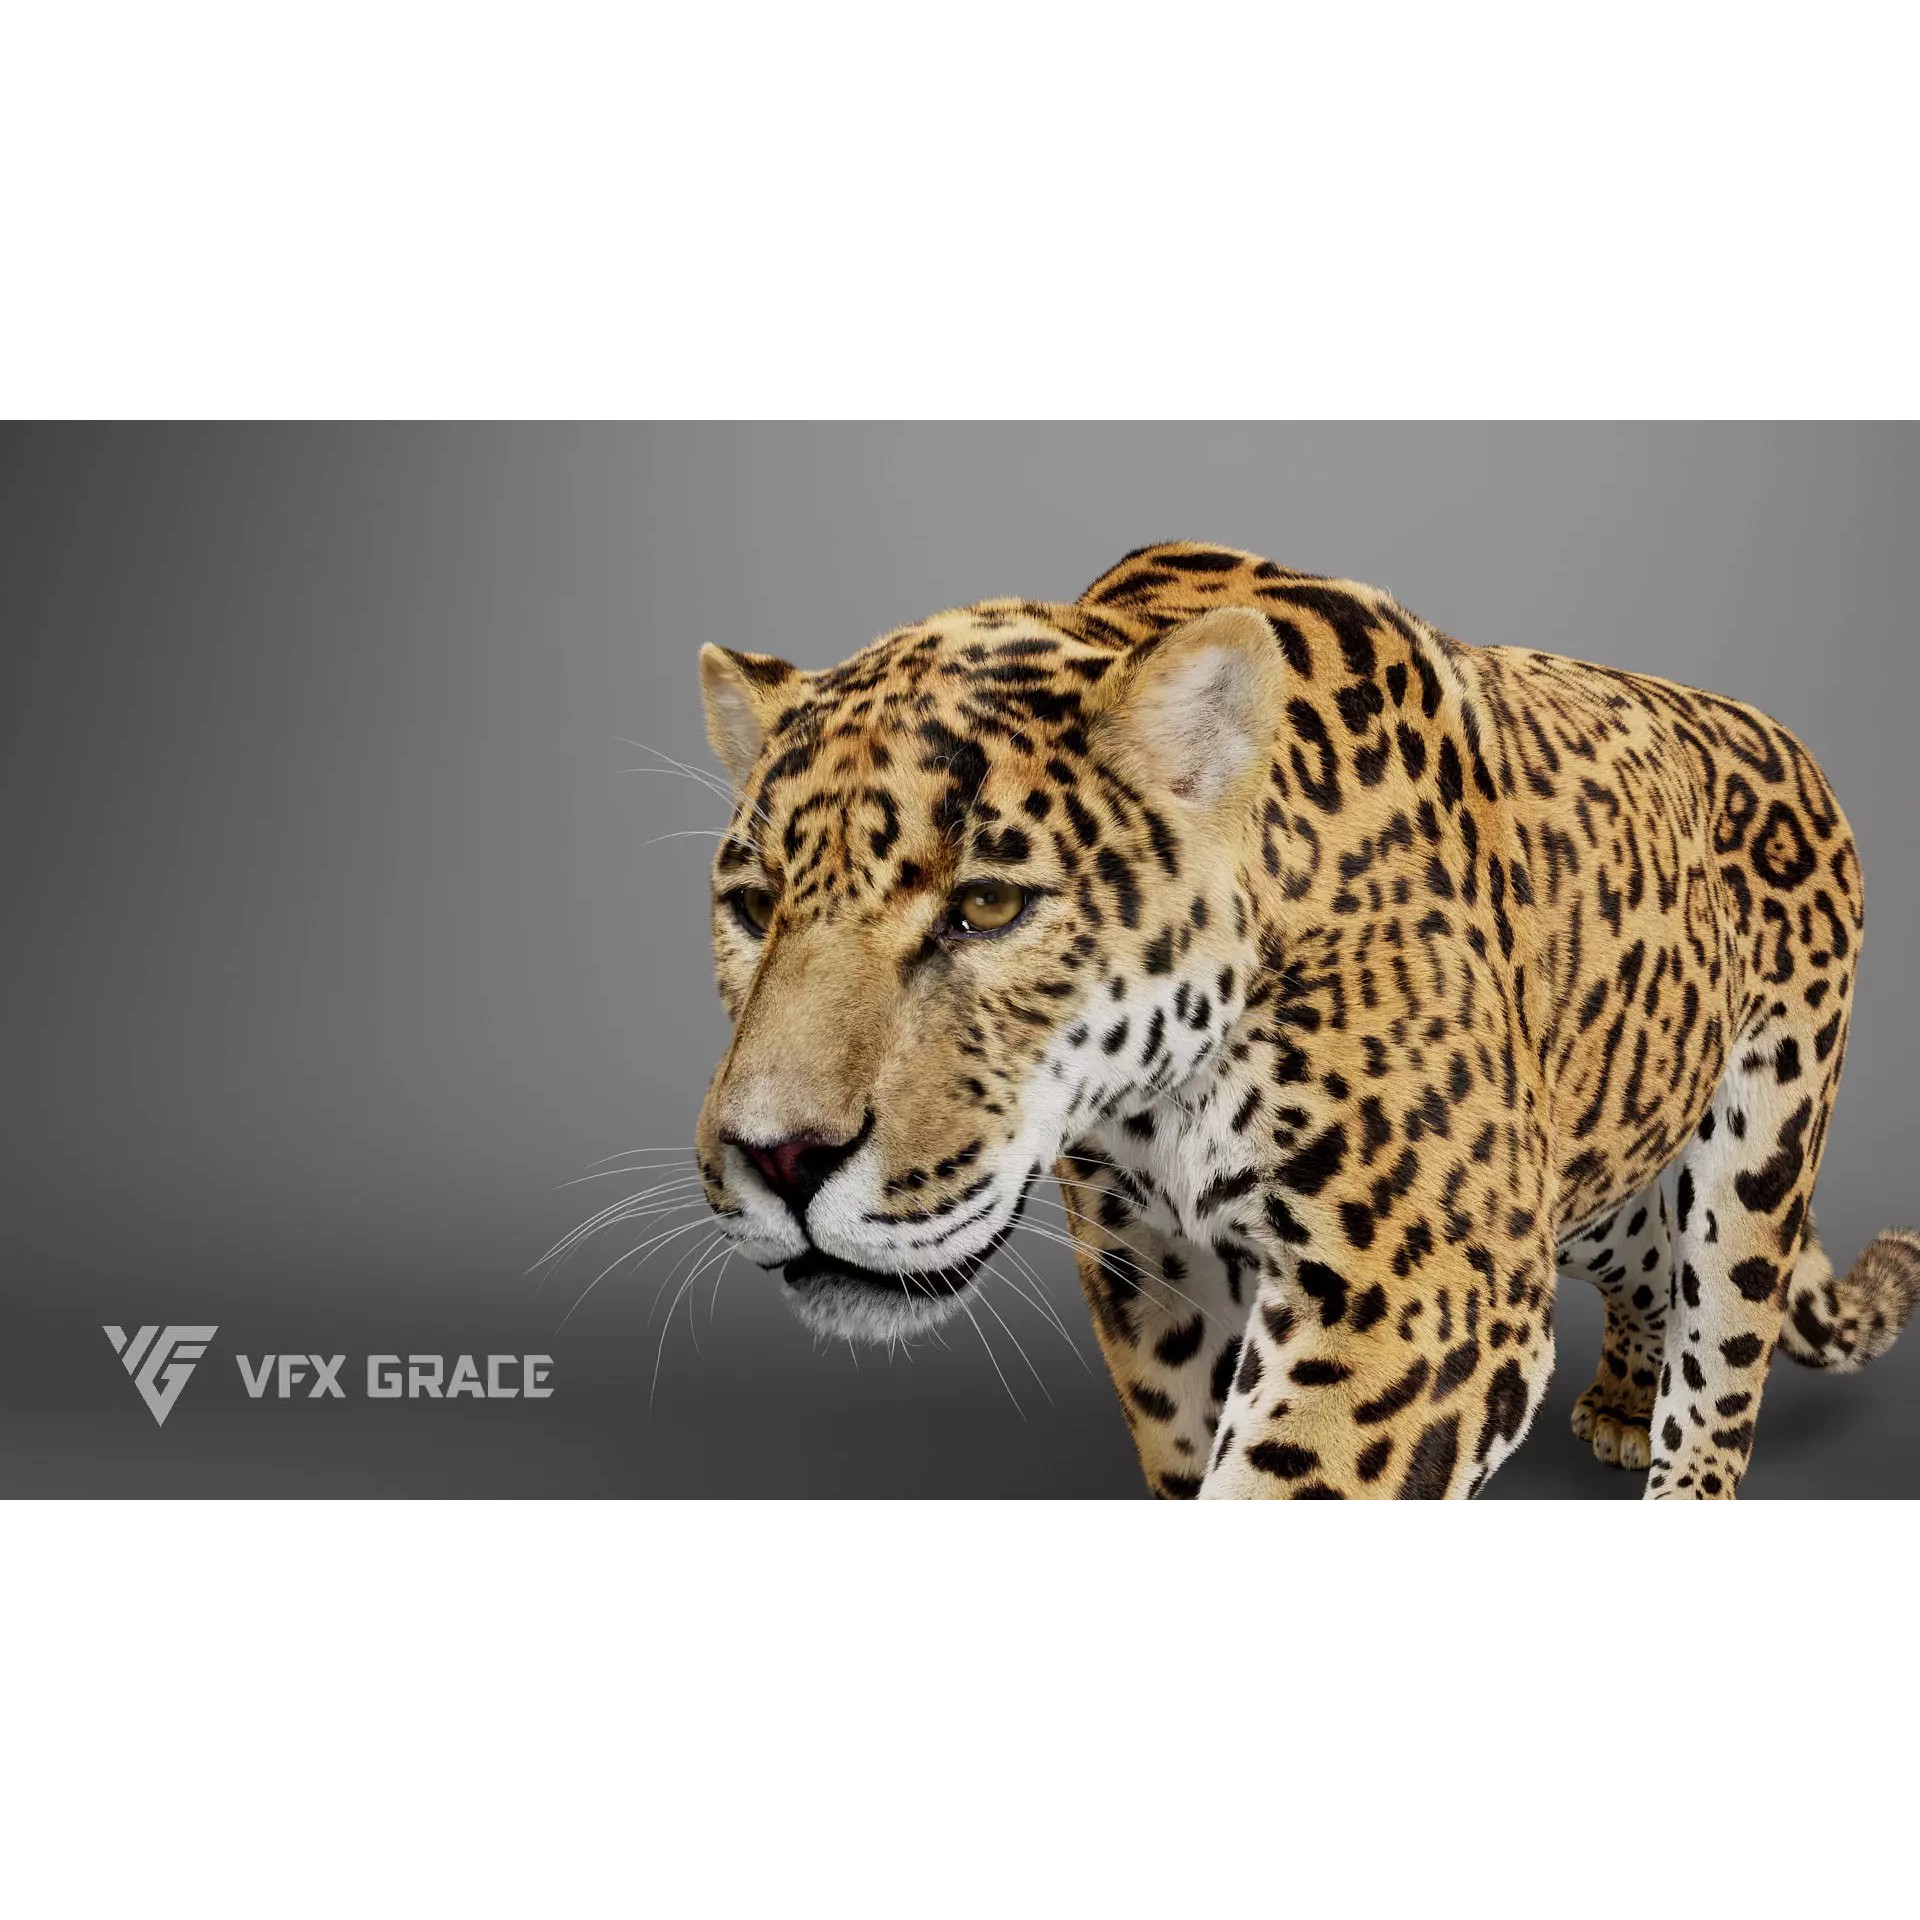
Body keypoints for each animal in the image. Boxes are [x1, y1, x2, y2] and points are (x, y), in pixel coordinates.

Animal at [689, 540, 1919, 1497]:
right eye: (752, 907)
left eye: (988, 906)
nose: (778, 1159)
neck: (1161, 1094)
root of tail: (1775, 733)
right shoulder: (1152, 1260)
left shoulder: (1433, 1282)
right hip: (1592, 1144)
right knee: (1647, 1251)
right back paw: (1621, 1397)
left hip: (1758, 1146)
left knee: (1721, 1344)